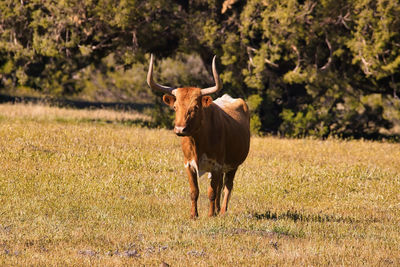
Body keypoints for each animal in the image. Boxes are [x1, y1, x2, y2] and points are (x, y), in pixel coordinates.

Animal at [147, 54, 250, 218]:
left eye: (195, 107)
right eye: (175, 107)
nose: (180, 129)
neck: (197, 142)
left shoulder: (216, 164)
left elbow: (212, 192)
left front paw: (210, 215)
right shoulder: (188, 165)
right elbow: (194, 191)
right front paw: (193, 215)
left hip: (233, 165)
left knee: (227, 186)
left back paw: (222, 211)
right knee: (221, 185)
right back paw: (217, 209)